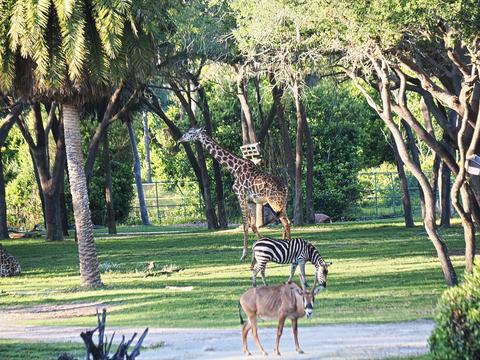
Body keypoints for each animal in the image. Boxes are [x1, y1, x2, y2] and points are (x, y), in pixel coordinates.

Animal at [178, 128, 290, 260]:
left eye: (191, 133)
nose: (180, 139)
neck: (234, 168)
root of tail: (285, 188)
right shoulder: (251, 201)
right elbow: (253, 225)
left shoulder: (240, 196)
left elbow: (246, 225)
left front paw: (243, 255)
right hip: (282, 203)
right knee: (286, 222)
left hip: (275, 202)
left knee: (286, 222)